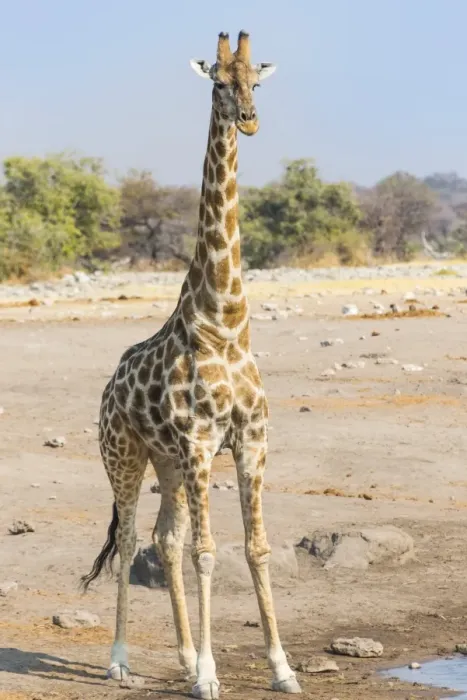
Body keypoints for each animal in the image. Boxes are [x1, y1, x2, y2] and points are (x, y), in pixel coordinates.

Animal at [81, 30, 301, 700]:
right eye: (218, 83)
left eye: (256, 81)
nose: (249, 119)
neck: (225, 321)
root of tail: (109, 387)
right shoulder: (204, 443)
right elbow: (209, 550)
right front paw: (209, 675)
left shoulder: (250, 442)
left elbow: (255, 547)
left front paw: (282, 668)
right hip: (124, 454)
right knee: (132, 537)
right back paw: (120, 660)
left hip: (169, 464)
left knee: (165, 538)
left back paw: (179, 656)